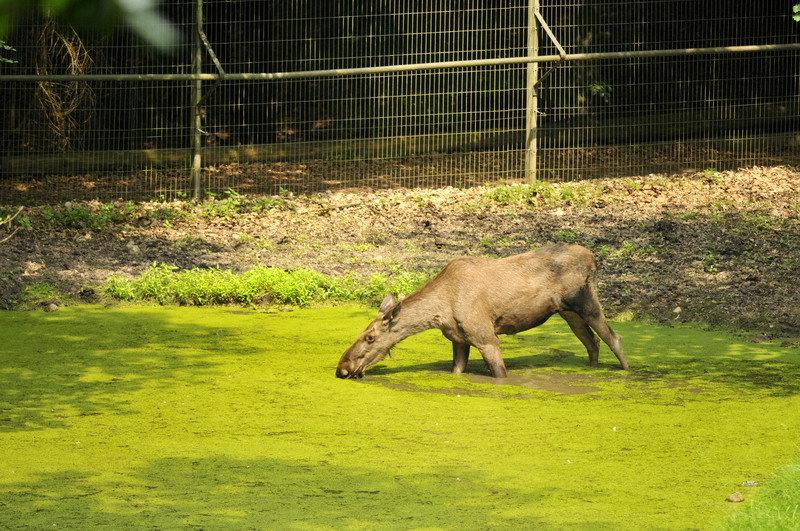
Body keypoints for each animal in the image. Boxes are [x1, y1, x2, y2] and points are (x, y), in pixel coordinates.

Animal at [336, 243, 628, 379]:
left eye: (370, 337)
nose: (342, 368)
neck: (441, 312)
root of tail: (593, 258)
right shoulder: (458, 340)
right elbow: (457, 370)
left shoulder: (486, 336)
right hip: (567, 312)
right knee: (592, 341)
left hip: (586, 301)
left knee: (612, 337)